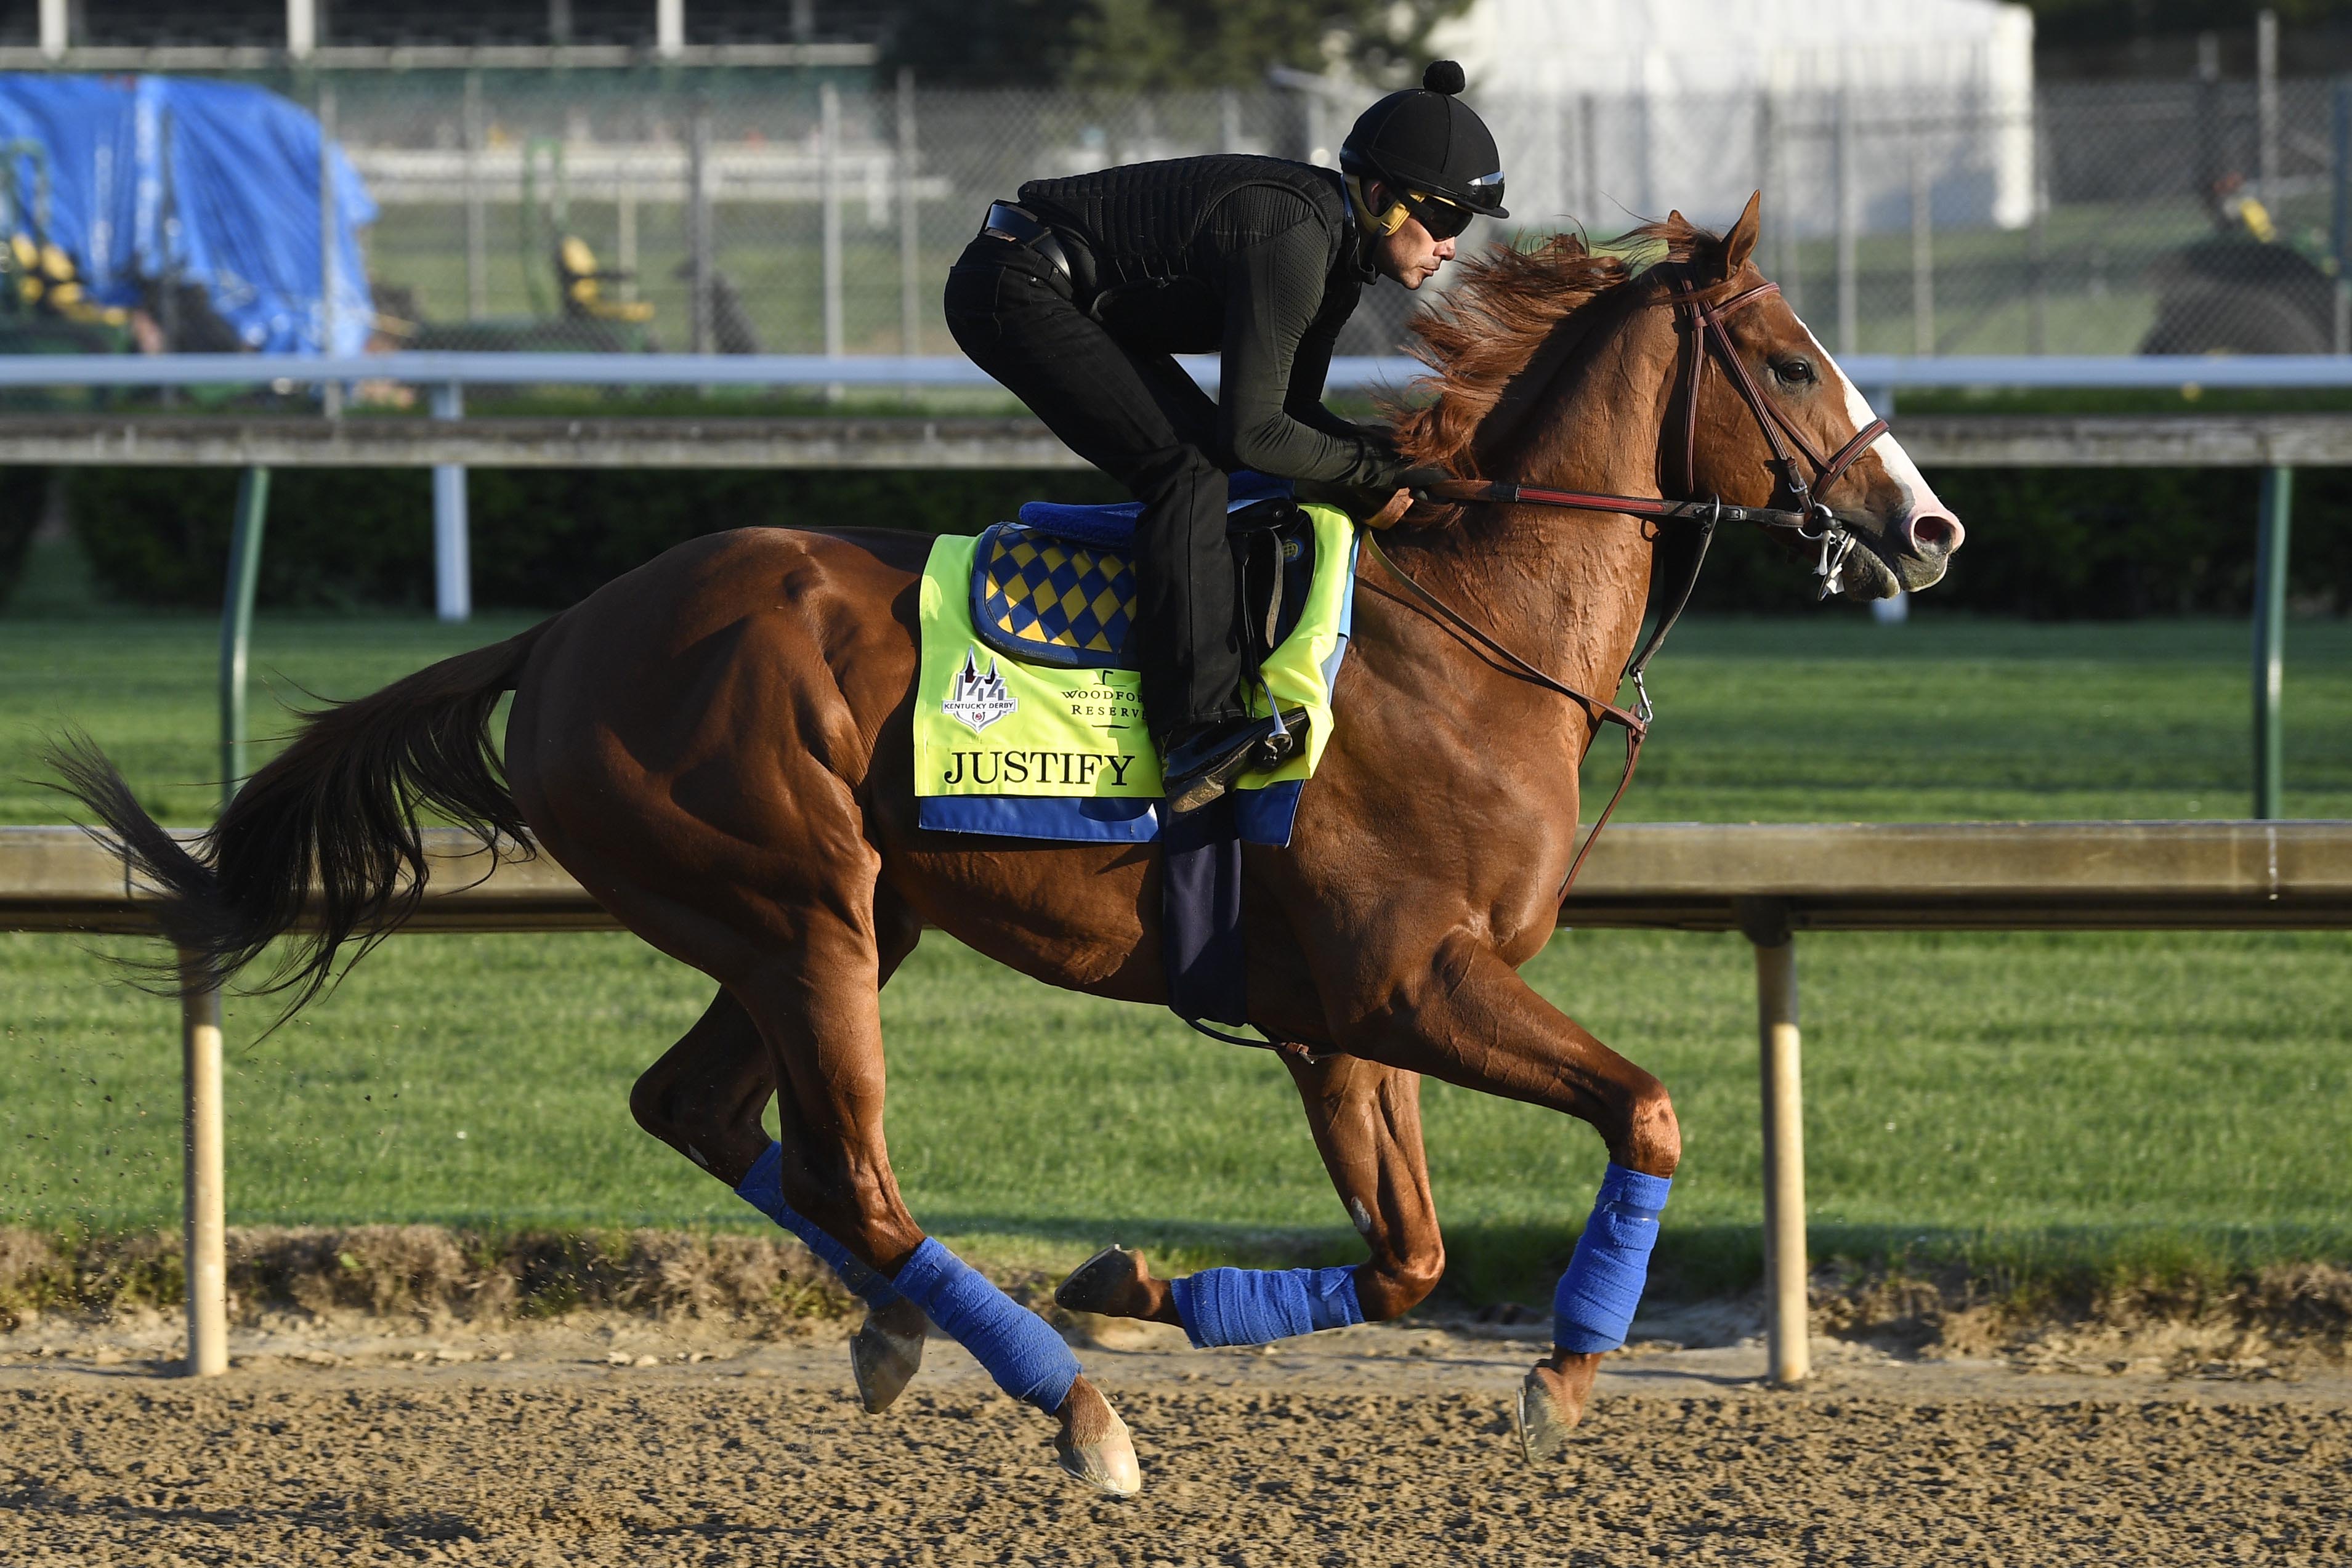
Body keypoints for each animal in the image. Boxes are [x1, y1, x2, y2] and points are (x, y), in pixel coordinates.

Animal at [59, 196, 1966, 1495]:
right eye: (1786, 360)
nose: (1929, 525)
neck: (1467, 631)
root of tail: (567, 630)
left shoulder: (1337, 1016)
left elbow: (1411, 1257)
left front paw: (1143, 1278)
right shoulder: (1404, 978)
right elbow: (1642, 1110)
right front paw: (1558, 1378)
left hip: (818, 918)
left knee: (703, 1112)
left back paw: (915, 1329)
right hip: (802, 907)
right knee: (852, 1170)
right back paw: (1077, 1412)